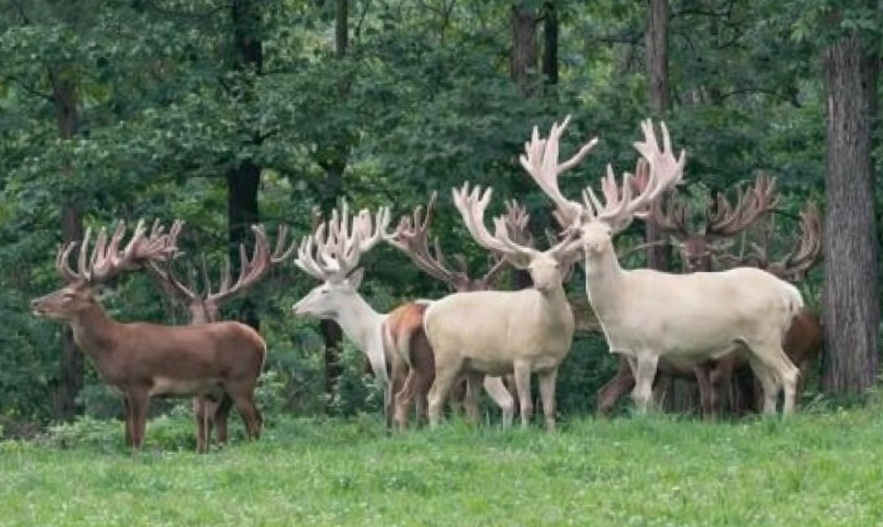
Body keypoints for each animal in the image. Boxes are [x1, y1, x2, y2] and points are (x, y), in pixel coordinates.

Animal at [30, 219, 267, 451]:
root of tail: (261, 342)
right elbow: (127, 439)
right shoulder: (124, 394)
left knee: (254, 420)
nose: (35, 302)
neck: (113, 348)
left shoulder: (140, 383)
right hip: (224, 388)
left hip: (241, 379)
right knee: (229, 418)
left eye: (68, 295)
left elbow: (138, 437)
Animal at [419, 182, 583, 430]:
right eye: (531, 269)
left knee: (470, 401)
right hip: (447, 355)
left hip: (473, 366)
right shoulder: (520, 358)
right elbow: (526, 405)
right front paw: (524, 431)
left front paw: (552, 433)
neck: (548, 333)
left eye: (555, 266)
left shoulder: (552, 365)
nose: (541, 285)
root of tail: (429, 312)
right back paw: (436, 430)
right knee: (435, 397)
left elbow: (549, 406)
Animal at [524, 116, 802, 416]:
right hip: (750, 343)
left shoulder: (650, 345)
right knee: (770, 382)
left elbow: (643, 395)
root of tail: (790, 293)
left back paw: (787, 418)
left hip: (766, 334)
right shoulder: (629, 352)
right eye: (581, 232)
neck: (620, 304)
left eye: (609, 233)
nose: (592, 245)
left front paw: (645, 421)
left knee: (790, 373)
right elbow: (637, 396)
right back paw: (768, 419)